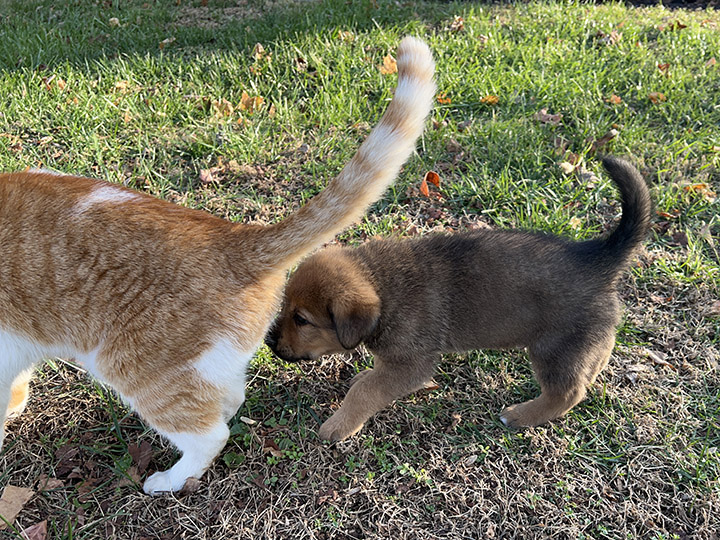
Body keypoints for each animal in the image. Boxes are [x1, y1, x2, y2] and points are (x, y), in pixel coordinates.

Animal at [0, 37, 436, 494]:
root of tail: (232, 237)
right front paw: (14, 407)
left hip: (136, 368)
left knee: (210, 433)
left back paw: (168, 481)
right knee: (229, 399)